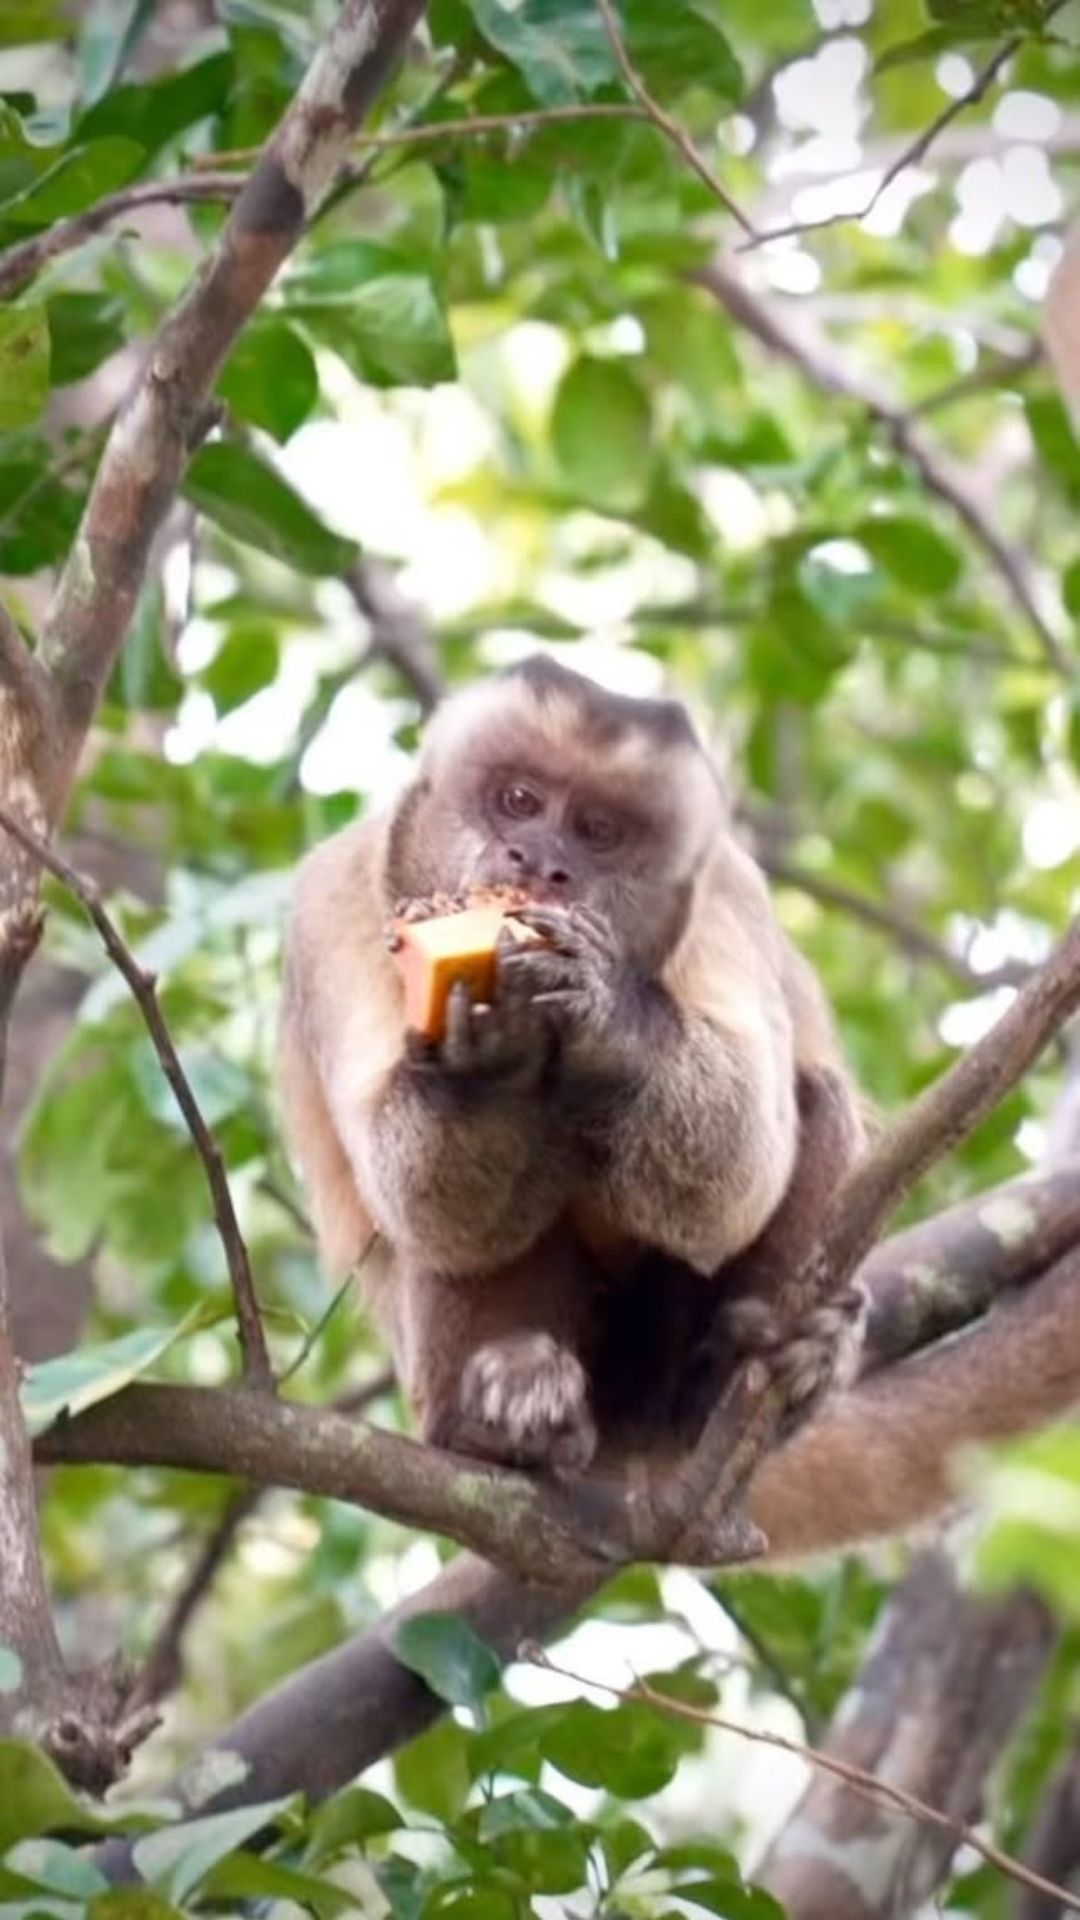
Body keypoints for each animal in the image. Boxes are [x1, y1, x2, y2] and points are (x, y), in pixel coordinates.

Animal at [279, 655, 866, 1474]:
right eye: (519, 802)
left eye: (598, 832)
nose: (542, 862)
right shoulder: (332, 897)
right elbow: (424, 1202)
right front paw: (491, 1061)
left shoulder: (727, 894)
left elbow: (734, 1180)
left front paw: (604, 1012)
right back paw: (504, 1403)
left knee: (815, 1094)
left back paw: (741, 1371)